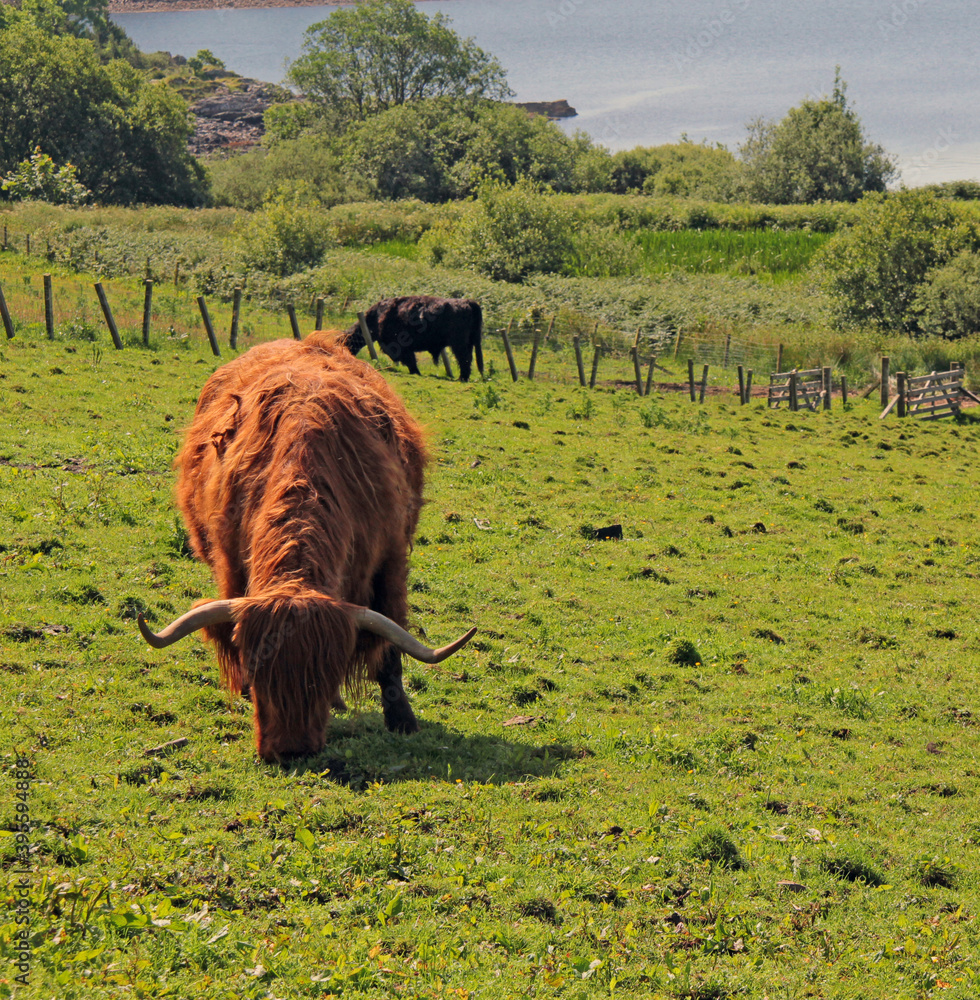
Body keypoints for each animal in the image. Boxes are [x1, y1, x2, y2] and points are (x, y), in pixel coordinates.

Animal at [346, 294, 484, 380]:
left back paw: (462, 378)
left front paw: (415, 372)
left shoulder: (399, 346)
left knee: (464, 359)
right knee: (467, 359)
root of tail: (467, 302)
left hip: (459, 344)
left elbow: (409, 359)